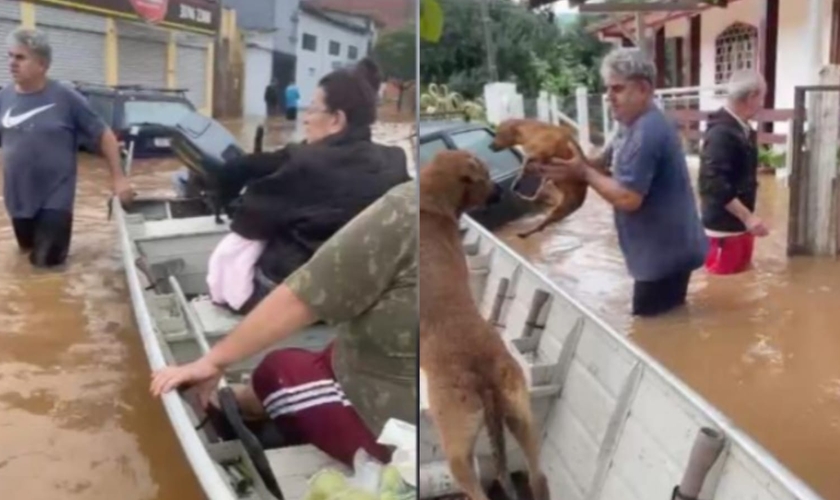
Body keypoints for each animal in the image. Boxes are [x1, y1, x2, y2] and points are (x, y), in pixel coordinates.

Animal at [420, 150, 552, 500]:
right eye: (485, 174)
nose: (502, 191)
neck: (431, 202)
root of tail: (483, 372)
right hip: (521, 414)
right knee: (538, 476)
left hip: (456, 446)